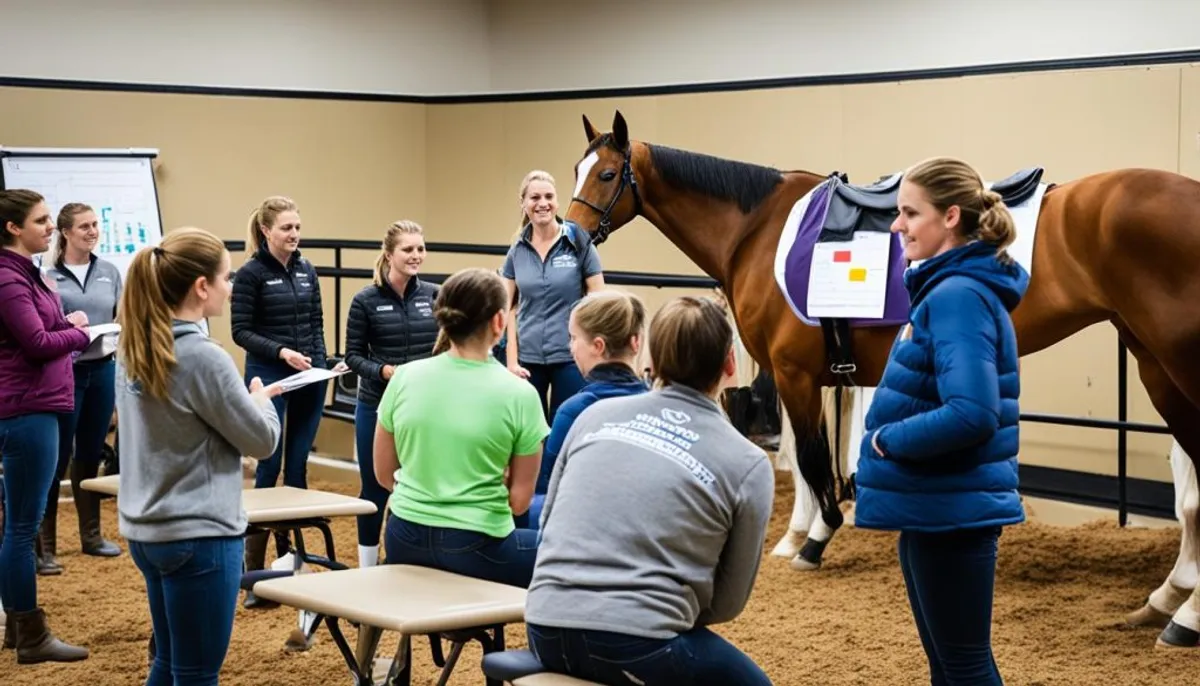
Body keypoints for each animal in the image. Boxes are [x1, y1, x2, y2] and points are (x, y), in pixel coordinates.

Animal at [559, 108, 1200, 642]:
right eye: (577, 168)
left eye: (608, 173)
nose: (568, 237)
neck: (757, 229)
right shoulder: (816, 378)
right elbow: (811, 459)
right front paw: (803, 532)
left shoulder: (793, 373)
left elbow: (813, 460)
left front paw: (815, 540)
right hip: (1153, 364)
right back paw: (1167, 599)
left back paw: (1184, 614)